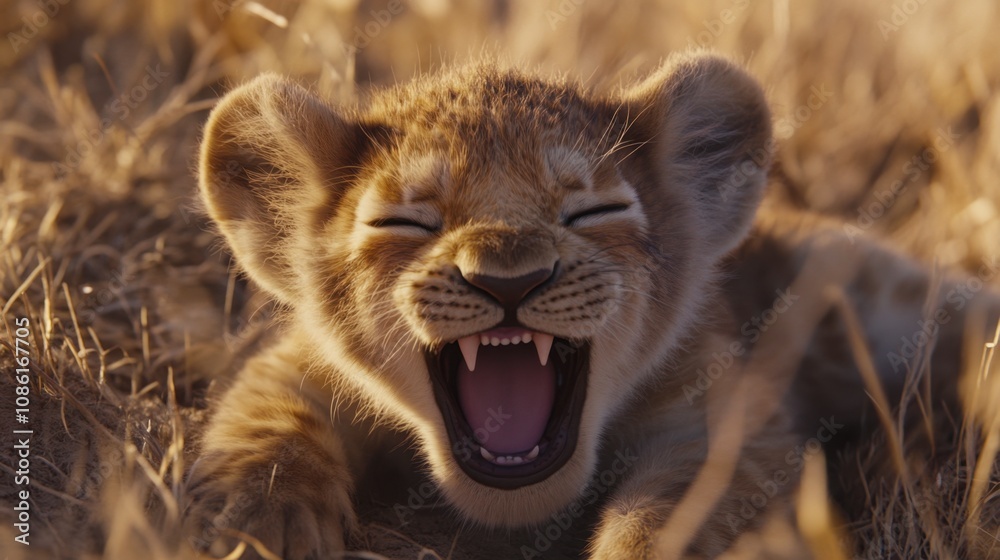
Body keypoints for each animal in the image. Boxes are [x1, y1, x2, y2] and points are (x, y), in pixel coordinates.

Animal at [187, 52, 1000, 559]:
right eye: (404, 223)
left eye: (593, 213)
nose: (507, 280)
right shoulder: (299, 365)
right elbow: (265, 429)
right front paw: (261, 526)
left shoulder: (722, 421)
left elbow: (675, 515)